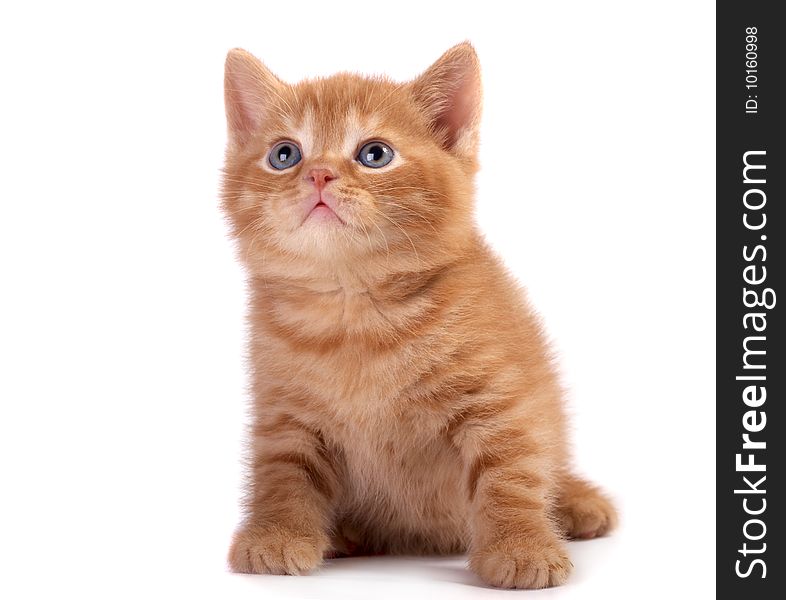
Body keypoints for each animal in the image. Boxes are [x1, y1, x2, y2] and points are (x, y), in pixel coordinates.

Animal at [219, 43, 612, 592]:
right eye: (285, 155)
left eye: (374, 154)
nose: (318, 174)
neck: (355, 313)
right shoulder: (284, 413)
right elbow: (283, 475)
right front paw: (277, 535)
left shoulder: (496, 398)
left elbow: (510, 473)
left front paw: (522, 547)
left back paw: (577, 503)